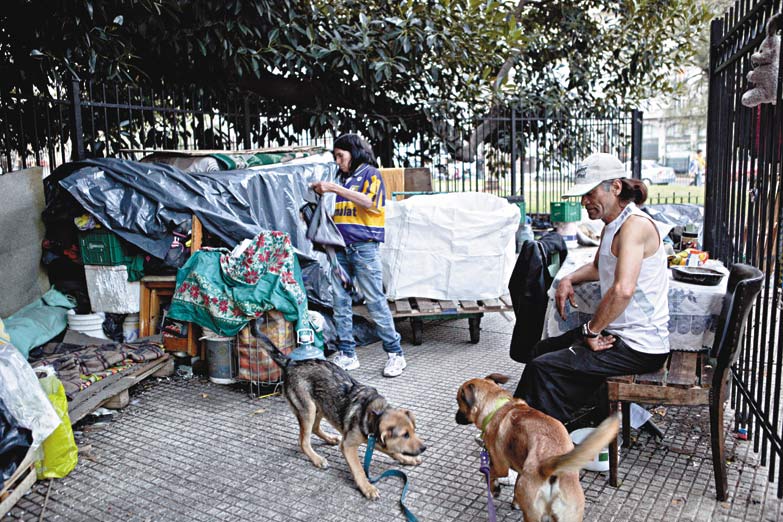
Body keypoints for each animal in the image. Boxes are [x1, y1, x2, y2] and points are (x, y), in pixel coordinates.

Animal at [460, 372, 620, 516]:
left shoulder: (500, 467)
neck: (498, 407)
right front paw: (514, 501)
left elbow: (488, 474)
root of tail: (549, 467)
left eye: (458, 402)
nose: (456, 418)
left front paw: (495, 488)